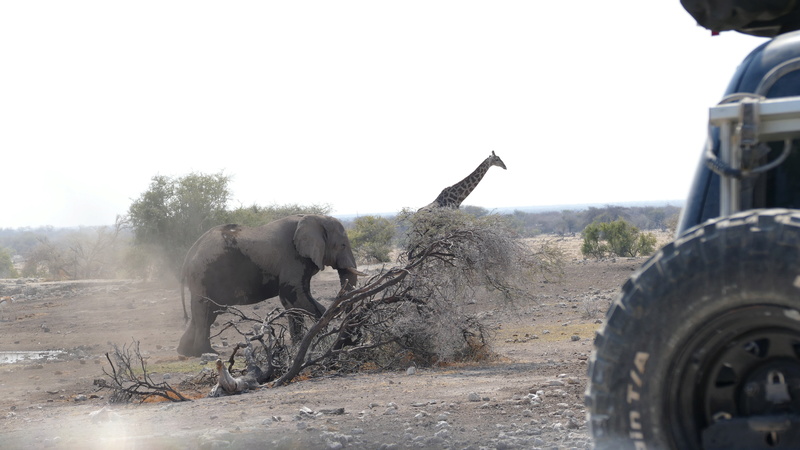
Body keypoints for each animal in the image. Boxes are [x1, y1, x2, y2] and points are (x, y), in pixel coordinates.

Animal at [178, 213, 362, 356]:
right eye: (342, 245)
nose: (350, 341)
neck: (314, 217)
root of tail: (188, 255)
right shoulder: (292, 256)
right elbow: (292, 295)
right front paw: (317, 340)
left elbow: (295, 301)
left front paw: (301, 344)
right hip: (203, 273)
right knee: (204, 310)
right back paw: (206, 352)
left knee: (208, 312)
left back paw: (186, 352)